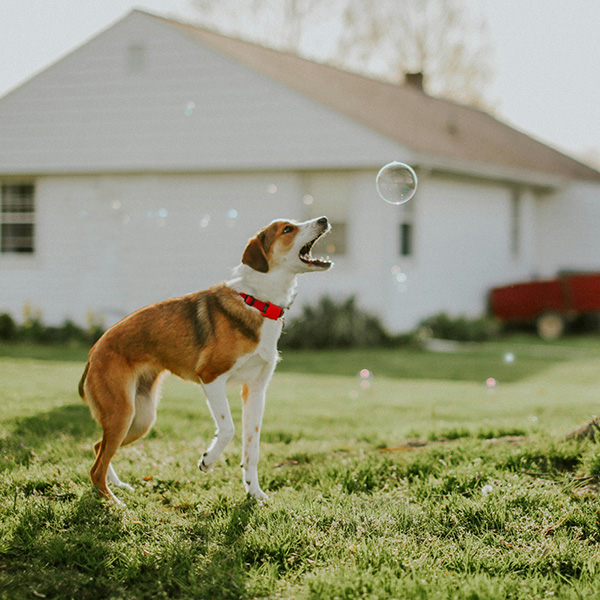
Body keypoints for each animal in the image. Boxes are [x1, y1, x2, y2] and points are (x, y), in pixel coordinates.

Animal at [77, 216, 330, 506]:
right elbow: (228, 428)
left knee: (99, 447)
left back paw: (117, 486)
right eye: (288, 229)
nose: (324, 219)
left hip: (140, 418)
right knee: (96, 466)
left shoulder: (255, 391)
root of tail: (94, 351)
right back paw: (113, 503)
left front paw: (254, 493)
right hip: (122, 413)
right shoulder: (211, 378)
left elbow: (251, 449)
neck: (258, 301)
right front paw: (208, 461)